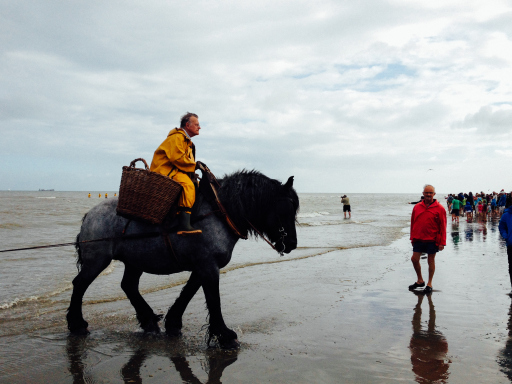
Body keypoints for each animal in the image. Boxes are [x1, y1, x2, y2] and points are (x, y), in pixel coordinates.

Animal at [68, 170, 300, 348]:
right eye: (285, 209)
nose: (292, 243)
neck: (219, 212)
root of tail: (89, 214)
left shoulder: (203, 266)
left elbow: (188, 292)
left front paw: (173, 322)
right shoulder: (208, 266)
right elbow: (213, 300)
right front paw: (224, 336)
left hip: (135, 260)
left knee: (129, 286)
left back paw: (149, 321)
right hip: (97, 260)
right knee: (80, 284)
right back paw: (77, 323)